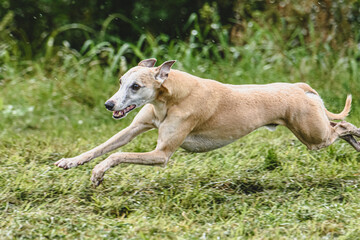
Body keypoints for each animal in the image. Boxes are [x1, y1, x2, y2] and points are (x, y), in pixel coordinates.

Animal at [54, 58, 360, 188]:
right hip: (313, 132)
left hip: (314, 136)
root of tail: (300, 87)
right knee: (341, 130)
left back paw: (356, 138)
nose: (109, 104)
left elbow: (117, 155)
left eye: (136, 86)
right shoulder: (133, 129)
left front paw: (98, 173)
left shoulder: (161, 154)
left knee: (343, 127)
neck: (171, 96)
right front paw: (70, 161)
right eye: (120, 82)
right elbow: (101, 148)